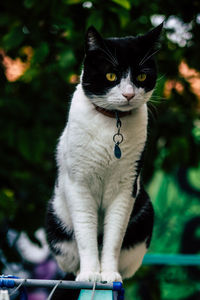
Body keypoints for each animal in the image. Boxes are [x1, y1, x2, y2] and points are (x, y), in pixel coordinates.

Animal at [46, 24, 163, 284]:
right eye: (111, 76)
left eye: (141, 76)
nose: (129, 94)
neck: (113, 122)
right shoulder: (78, 183)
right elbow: (86, 233)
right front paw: (90, 273)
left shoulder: (126, 186)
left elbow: (113, 237)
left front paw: (108, 274)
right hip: (55, 218)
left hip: (144, 212)